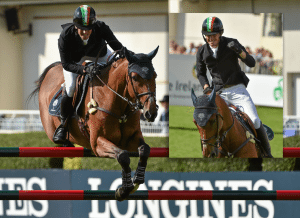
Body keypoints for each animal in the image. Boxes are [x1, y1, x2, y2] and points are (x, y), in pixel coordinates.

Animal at [29, 46, 159, 201]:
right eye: (134, 77)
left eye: (155, 75)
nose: (151, 113)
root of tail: (52, 70)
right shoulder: (97, 143)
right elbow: (122, 156)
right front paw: (124, 190)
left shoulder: (131, 138)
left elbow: (144, 150)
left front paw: (136, 180)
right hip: (50, 128)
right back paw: (63, 138)